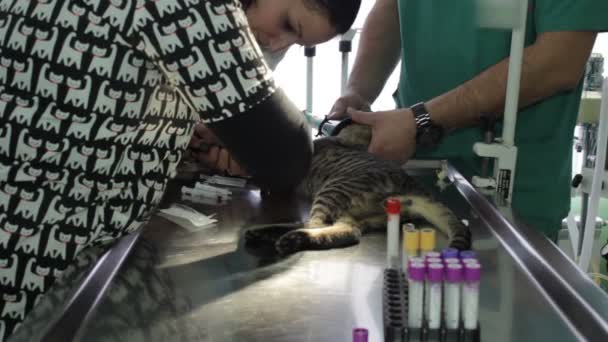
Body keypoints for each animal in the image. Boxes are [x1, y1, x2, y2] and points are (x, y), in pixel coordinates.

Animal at [243, 120, 470, 256]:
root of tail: (411, 186)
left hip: (334, 190)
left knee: (315, 224)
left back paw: (283, 237)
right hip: (357, 213)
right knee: (348, 232)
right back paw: (272, 235)